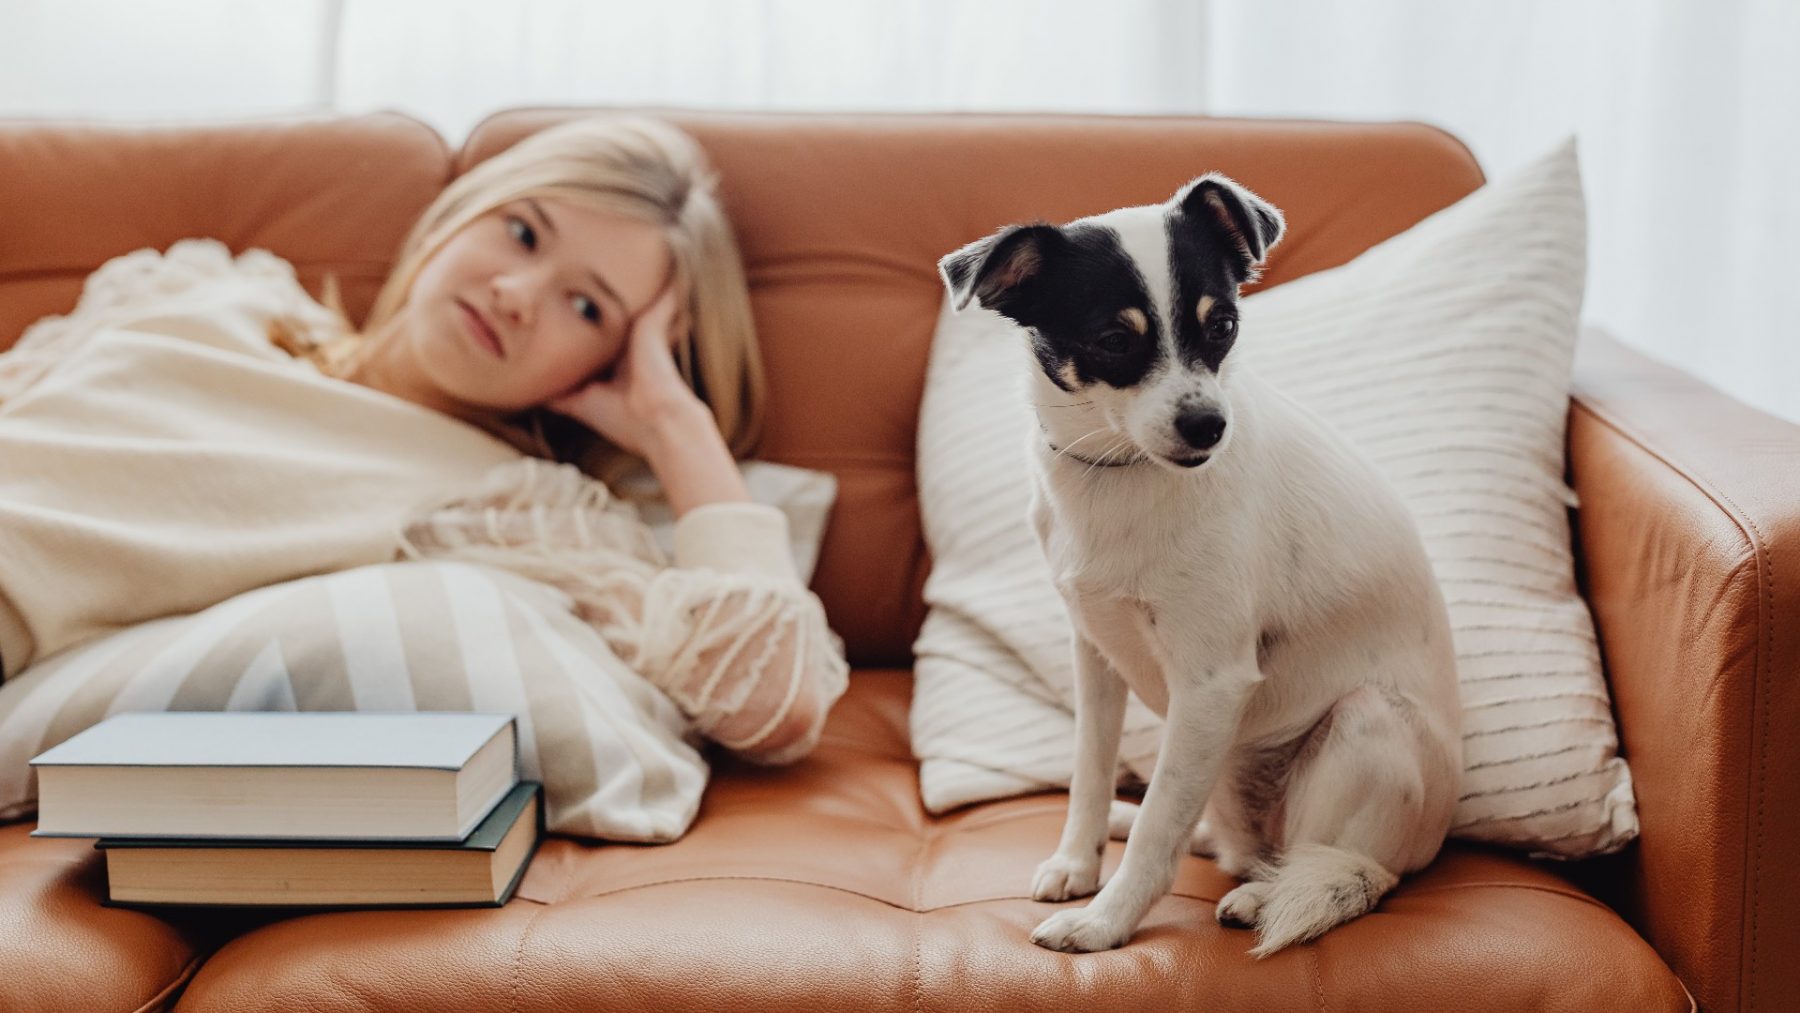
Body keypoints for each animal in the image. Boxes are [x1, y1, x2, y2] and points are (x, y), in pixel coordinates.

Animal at [943, 176, 1461, 957]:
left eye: (1223, 327)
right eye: (1113, 340)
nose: (1208, 425)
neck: (1119, 476)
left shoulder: (1212, 682)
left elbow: (1161, 826)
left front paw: (1105, 922)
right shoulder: (1096, 654)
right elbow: (1090, 773)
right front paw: (1078, 860)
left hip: (1364, 726)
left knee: (1344, 866)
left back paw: (1262, 895)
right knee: (1210, 829)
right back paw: (1144, 826)